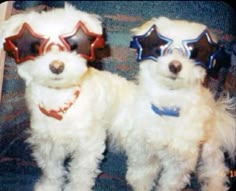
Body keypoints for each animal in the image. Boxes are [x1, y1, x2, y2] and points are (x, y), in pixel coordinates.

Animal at [0, 3, 136, 191]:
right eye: (35, 47)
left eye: (73, 45)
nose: (57, 66)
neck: (58, 99)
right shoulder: (47, 144)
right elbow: (51, 171)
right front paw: (48, 186)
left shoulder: (88, 145)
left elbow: (80, 174)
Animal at [109, 16, 236, 191]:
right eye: (159, 48)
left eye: (194, 53)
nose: (175, 65)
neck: (167, 107)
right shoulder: (142, 146)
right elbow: (143, 169)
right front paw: (140, 183)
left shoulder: (181, 160)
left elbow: (170, 182)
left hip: (209, 148)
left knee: (215, 169)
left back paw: (214, 186)